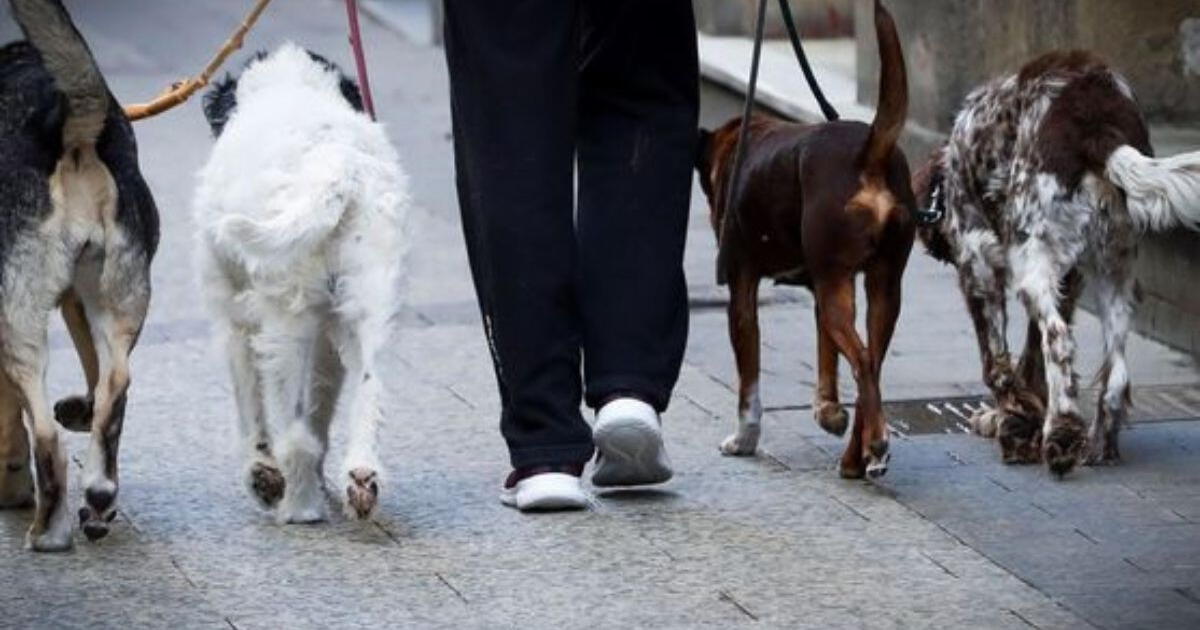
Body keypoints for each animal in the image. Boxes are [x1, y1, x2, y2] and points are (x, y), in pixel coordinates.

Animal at [1, 0, 158, 547]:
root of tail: (73, 129)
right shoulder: (75, 303)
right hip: (113, 303)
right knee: (115, 387)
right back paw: (99, 493)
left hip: (19, 322)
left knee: (46, 437)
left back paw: (48, 530)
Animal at [192, 45, 408, 520]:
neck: (292, 82)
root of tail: (335, 167)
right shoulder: (327, 331)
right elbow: (322, 406)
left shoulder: (237, 322)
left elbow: (252, 408)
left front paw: (262, 474)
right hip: (366, 303)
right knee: (370, 387)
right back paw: (360, 477)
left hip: (284, 321)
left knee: (293, 434)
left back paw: (300, 506)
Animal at [691, 0, 912, 477]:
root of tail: (869, 152)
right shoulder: (815, 289)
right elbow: (827, 360)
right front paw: (828, 412)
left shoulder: (742, 288)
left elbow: (749, 383)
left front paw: (744, 439)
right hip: (880, 286)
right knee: (871, 363)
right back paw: (857, 457)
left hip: (838, 284)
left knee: (863, 360)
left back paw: (876, 445)